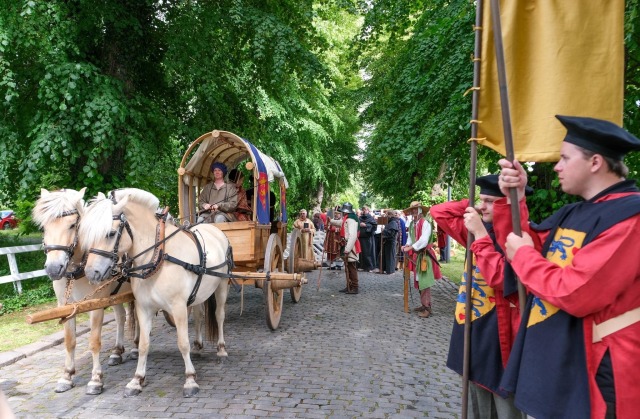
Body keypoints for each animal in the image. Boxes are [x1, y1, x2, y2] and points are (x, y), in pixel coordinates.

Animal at [31, 189, 138, 396]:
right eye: (44, 227)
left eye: (73, 224)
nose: (54, 268)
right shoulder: (66, 306)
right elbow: (69, 341)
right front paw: (67, 376)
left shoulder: (94, 306)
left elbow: (94, 341)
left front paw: (95, 380)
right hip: (113, 295)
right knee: (121, 317)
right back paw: (117, 352)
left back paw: (136, 348)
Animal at [79, 189, 231, 398]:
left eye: (110, 233)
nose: (90, 273)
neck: (159, 256)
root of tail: (215, 229)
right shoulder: (144, 308)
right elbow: (144, 344)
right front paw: (136, 380)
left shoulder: (178, 307)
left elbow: (182, 342)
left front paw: (190, 379)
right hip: (199, 293)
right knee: (200, 315)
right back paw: (198, 346)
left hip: (222, 284)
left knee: (219, 315)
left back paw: (221, 350)